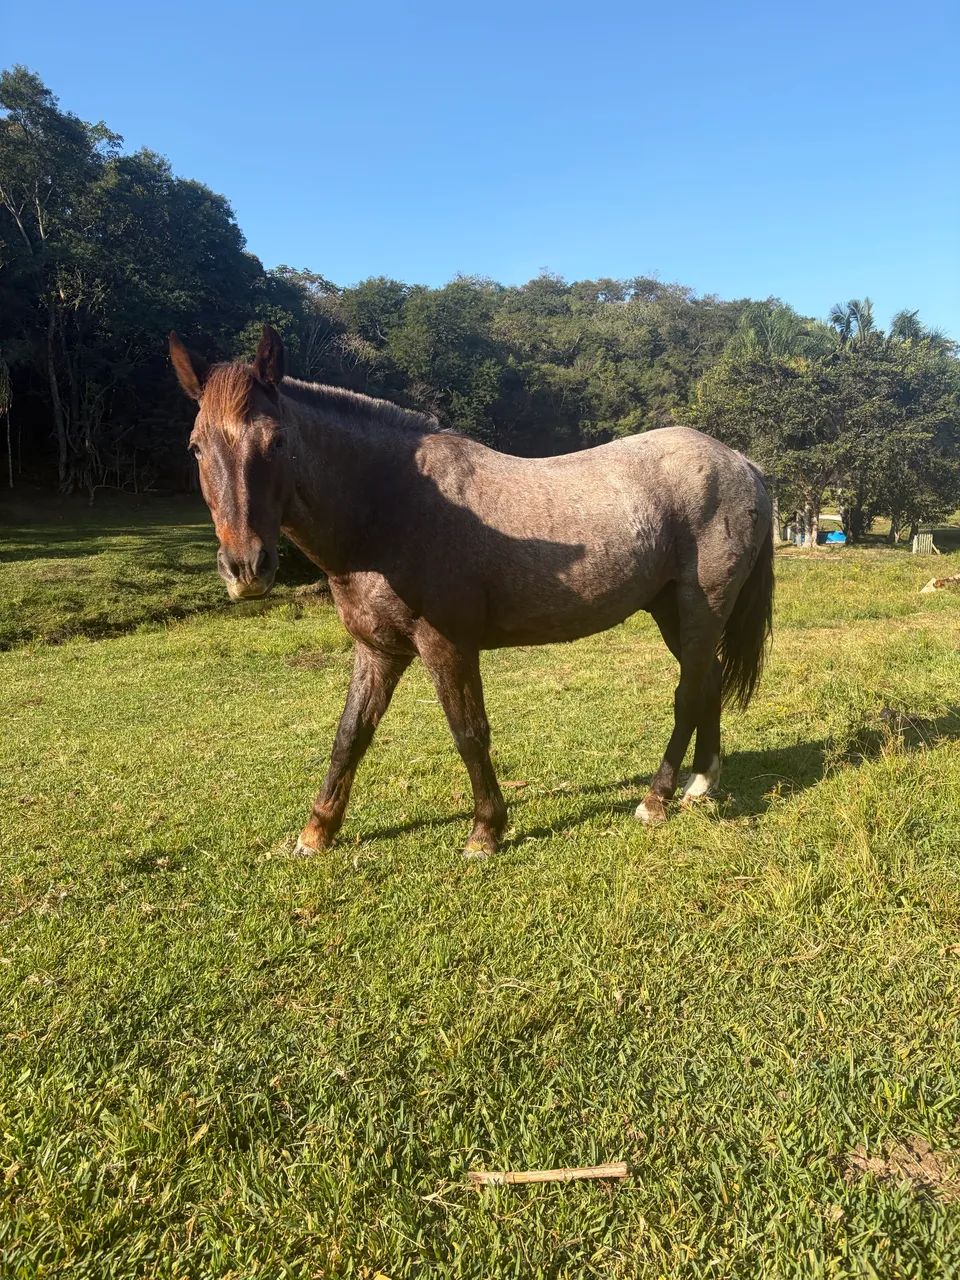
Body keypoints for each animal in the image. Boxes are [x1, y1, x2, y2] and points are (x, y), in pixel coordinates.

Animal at [169, 325, 773, 857]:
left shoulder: (448, 647)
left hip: (700, 607)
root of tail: (741, 462)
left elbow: (468, 732)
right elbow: (350, 736)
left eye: (275, 442)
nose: (246, 567)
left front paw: (486, 831)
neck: (390, 507)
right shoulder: (377, 650)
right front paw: (316, 833)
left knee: (688, 693)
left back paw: (655, 799)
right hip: (670, 608)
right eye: (196, 447)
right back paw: (702, 782)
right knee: (708, 680)